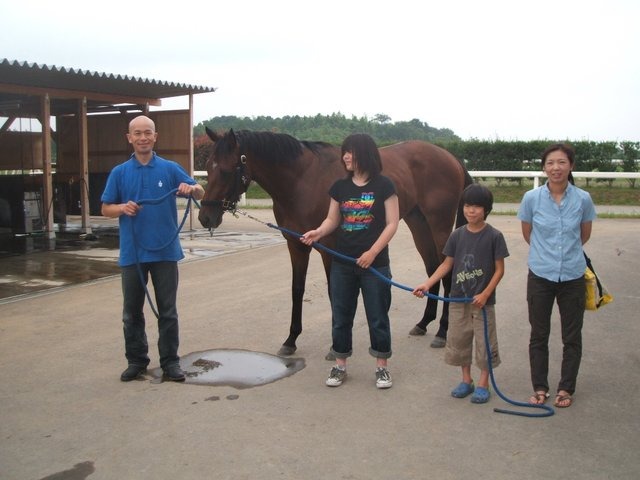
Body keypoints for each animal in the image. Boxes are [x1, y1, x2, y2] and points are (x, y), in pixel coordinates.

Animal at [198, 128, 472, 356]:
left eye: (226, 170)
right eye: (208, 168)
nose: (205, 217)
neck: (303, 180)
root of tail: (451, 157)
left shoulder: (328, 247)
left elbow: (334, 291)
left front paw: (335, 344)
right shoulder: (296, 245)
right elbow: (297, 289)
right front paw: (291, 340)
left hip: (439, 225)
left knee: (446, 272)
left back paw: (442, 332)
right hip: (418, 223)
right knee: (432, 268)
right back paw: (423, 323)